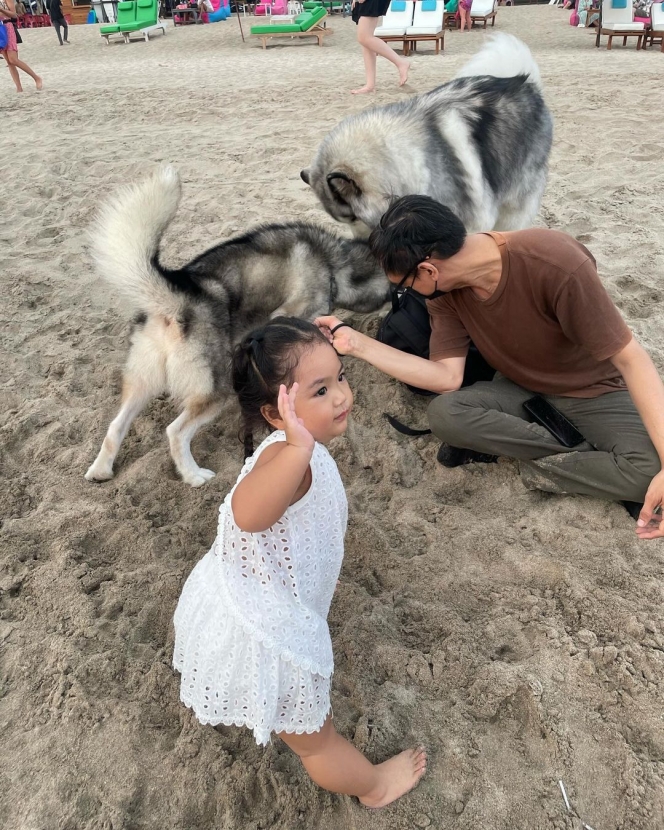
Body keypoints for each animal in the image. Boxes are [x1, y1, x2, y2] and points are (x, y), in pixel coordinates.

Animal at [85, 167, 386, 488]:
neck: (336, 264)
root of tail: (176, 299)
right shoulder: (290, 312)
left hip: (143, 381)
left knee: (115, 426)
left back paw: (101, 470)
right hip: (215, 389)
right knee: (175, 432)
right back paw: (193, 475)